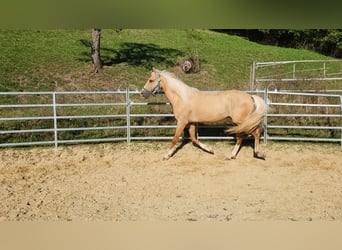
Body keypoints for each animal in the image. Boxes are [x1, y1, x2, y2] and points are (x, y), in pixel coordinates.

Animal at [140, 68, 268, 160]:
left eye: (151, 80)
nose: (142, 93)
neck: (182, 97)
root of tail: (250, 96)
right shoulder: (192, 123)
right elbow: (194, 139)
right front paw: (210, 149)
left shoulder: (182, 122)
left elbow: (175, 139)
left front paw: (166, 155)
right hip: (239, 124)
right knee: (241, 137)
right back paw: (231, 156)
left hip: (242, 122)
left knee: (255, 133)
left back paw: (259, 154)